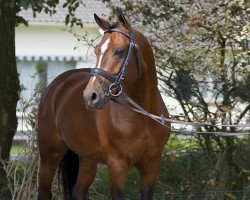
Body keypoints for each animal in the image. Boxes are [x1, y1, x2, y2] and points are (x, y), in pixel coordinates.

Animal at [37, 10, 171, 200]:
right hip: (49, 156)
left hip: (87, 159)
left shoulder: (151, 166)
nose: (90, 96)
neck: (143, 116)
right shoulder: (116, 166)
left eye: (119, 51)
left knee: (78, 192)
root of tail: (57, 85)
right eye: (97, 50)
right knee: (44, 190)